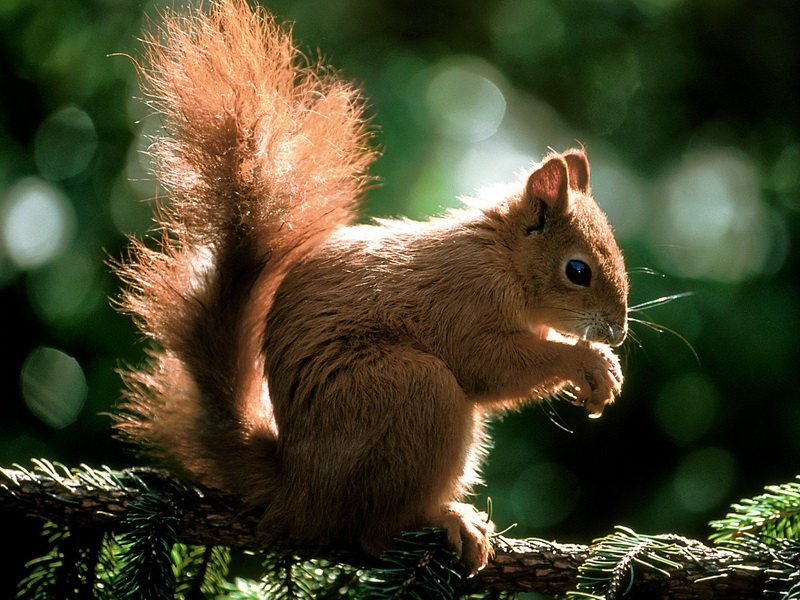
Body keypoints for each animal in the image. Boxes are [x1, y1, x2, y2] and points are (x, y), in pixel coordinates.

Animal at [117, 0, 632, 576]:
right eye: (578, 271)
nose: (617, 332)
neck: (502, 259)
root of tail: (300, 489)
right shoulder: (461, 302)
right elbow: (488, 364)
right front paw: (586, 361)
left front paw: (602, 373)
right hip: (409, 392)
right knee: (373, 532)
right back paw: (447, 520)